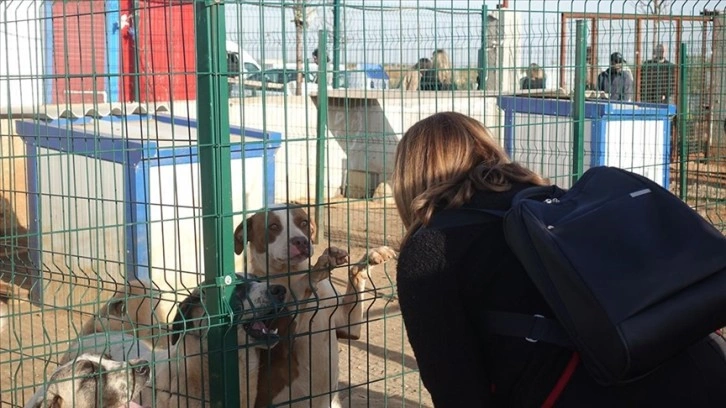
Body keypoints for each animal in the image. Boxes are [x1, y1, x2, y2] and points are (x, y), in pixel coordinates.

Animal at [236, 206, 398, 408]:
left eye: (303, 222)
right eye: (273, 226)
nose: (301, 241)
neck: (291, 272)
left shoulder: (350, 327)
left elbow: (354, 272)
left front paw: (371, 256)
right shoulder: (279, 342)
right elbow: (301, 287)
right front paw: (317, 268)